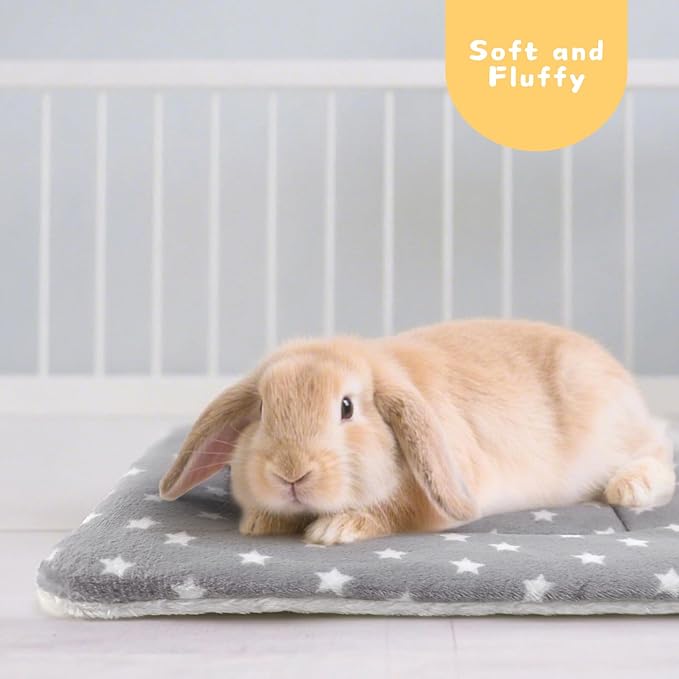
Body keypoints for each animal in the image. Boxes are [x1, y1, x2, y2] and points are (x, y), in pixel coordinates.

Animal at [158, 319, 675, 545]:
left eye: (346, 407)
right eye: (263, 409)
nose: (291, 473)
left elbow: (397, 511)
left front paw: (335, 529)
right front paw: (262, 522)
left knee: (659, 450)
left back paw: (631, 487)